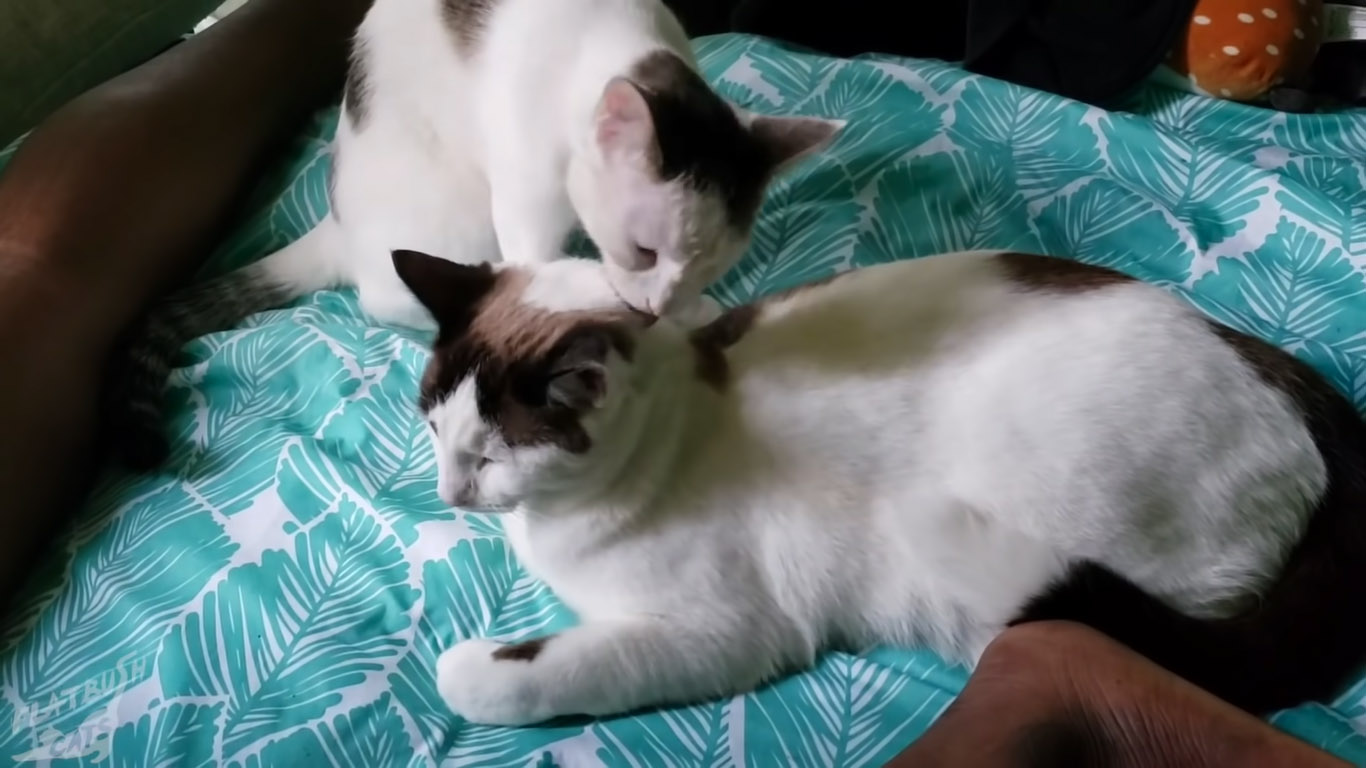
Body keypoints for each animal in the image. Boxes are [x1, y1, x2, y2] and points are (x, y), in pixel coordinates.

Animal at [107, 0, 842, 469]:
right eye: (643, 251)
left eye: (705, 268)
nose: (664, 302)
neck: (607, 38)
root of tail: (337, 223)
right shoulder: (524, 209)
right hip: (457, 230)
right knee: (392, 300)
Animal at [385, 246, 1366, 726]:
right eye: (430, 425)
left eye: (492, 454)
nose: (450, 491)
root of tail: (1291, 379)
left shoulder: (722, 631)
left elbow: (509, 672)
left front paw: (469, 668)